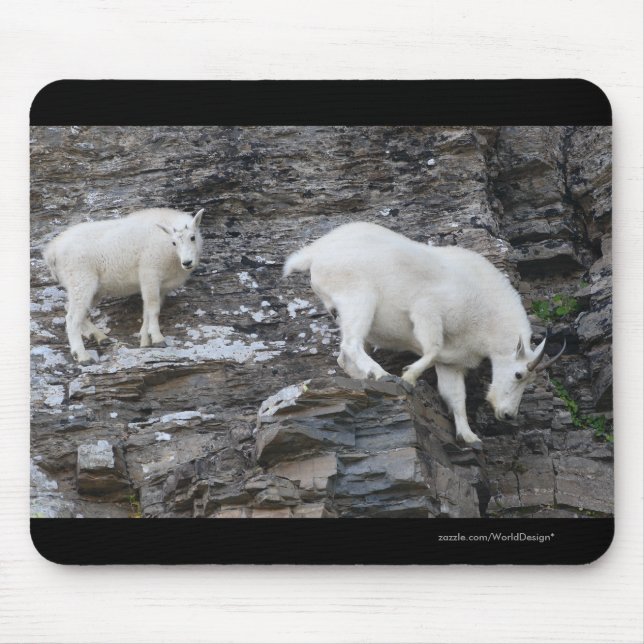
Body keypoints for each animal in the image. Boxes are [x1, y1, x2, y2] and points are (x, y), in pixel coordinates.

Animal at [43, 207, 204, 365]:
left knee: (72, 310)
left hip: (92, 289)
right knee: (72, 318)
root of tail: (52, 251)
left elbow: (147, 311)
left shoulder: (161, 287)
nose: (187, 262)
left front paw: (144, 341)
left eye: (192, 237)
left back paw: (100, 337)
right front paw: (157, 339)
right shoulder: (150, 275)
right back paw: (83, 356)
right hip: (81, 281)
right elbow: (153, 310)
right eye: (174, 242)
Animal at [284, 221, 565, 449]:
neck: (487, 313)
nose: (507, 414)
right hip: (358, 298)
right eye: (519, 374)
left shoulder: (452, 363)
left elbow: (456, 397)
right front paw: (408, 376)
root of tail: (314, 253)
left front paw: (469, 437)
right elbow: (432, 349)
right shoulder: (427, 311)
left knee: (344, 354)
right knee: (352, 344)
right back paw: (382, 374)